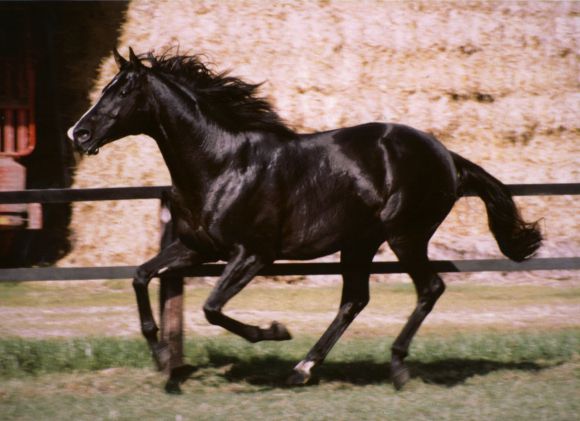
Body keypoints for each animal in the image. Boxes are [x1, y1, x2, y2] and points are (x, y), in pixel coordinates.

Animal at [69, 48, 544, 390]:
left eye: (122, 91)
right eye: (106, 87)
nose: (79, 133)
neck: (223, 163)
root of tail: (448, 157)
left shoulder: (254, 254)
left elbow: (212, 308)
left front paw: (276, 331)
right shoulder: (197, 247)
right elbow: (140, 276)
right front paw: (161, 355)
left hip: (405, 235)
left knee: (430, 288)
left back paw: (395, 368)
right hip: (360, 243)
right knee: (354, 300)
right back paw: (302, 369)